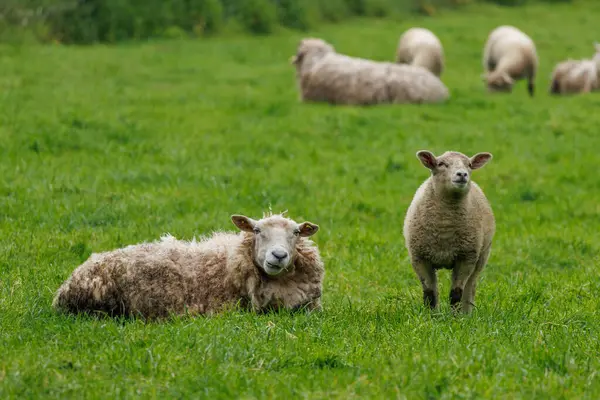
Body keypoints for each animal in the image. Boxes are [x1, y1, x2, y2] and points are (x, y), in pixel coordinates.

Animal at [404, 150, 496, 312]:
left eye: (469, 164)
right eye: (441, 164)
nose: (462, 174)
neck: (444, 228)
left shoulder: (466, 258)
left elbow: (456, 294)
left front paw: (455, 316)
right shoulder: (419, 258)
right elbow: (430, 294)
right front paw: (431, 315)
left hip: (482, 255)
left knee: (470, 287)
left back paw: (467, 313)